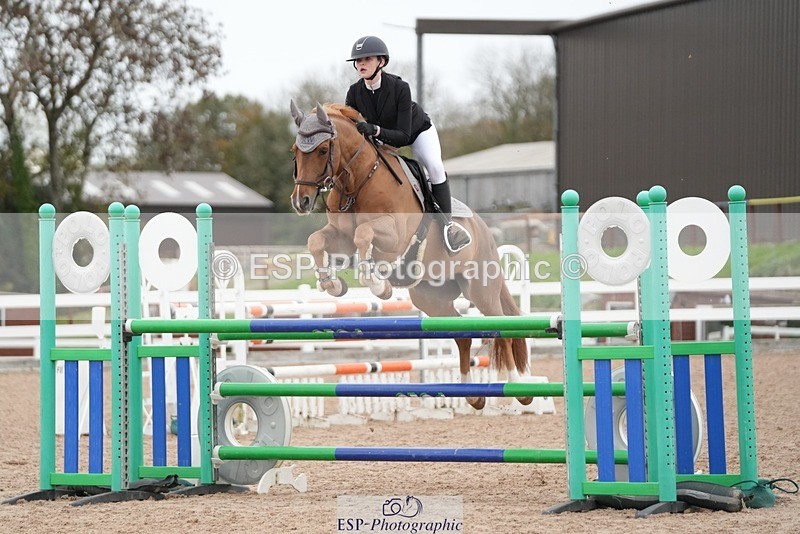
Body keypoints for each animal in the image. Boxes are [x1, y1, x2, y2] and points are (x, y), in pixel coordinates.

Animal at [289, 101, 532, 410]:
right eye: (295, 151)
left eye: (322, 150)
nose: (301, 201)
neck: (359, 180)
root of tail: (485, 231)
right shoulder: (340, 238)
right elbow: (316, 241)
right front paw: (332, 284)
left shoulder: (393, 236)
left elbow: (364, 234)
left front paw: (378, 286)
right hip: (431, 299)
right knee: (463, 336)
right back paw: (472, 394)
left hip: (481, 291)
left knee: (502, 330)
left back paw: (518, 388)